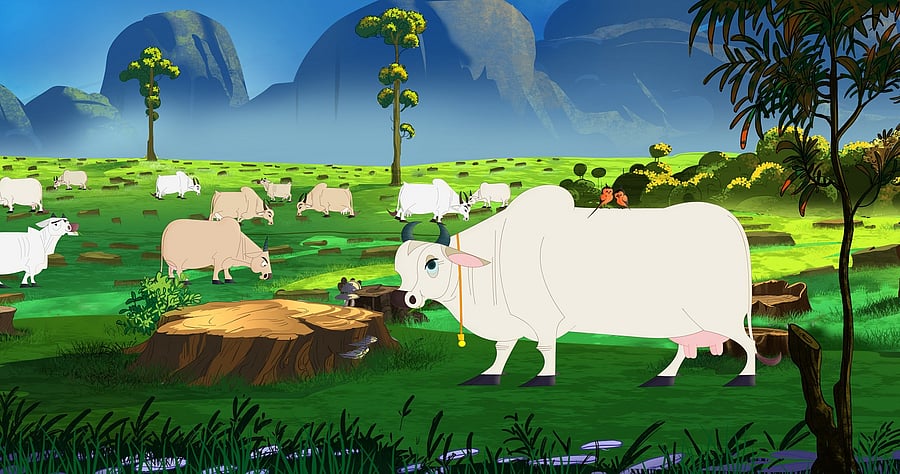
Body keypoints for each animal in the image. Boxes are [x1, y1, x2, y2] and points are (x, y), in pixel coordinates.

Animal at [392, 185, 780, 388]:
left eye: (431, 263)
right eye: (399, 266)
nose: (407, 298)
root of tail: (730, 220)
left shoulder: (543, 317)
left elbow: (545, 348)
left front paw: (544, 377)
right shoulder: (509, 320)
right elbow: (502, 350)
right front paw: (489, 375)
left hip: (719, 313)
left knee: (746, 343)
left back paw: (744, 378)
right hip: (687, 321)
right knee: (686, 350)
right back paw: (662, 377)